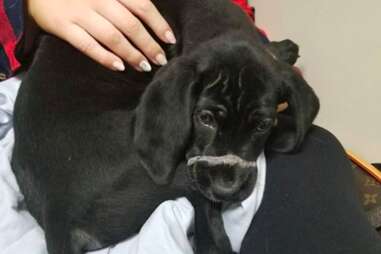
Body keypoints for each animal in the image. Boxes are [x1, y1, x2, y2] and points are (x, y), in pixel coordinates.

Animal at [11, 0, 318, 254]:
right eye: (204, 119)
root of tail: (56, 213)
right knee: (209, 226)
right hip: (179, 176)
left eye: (262, 125)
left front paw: (282, 50)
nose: (226, 189)